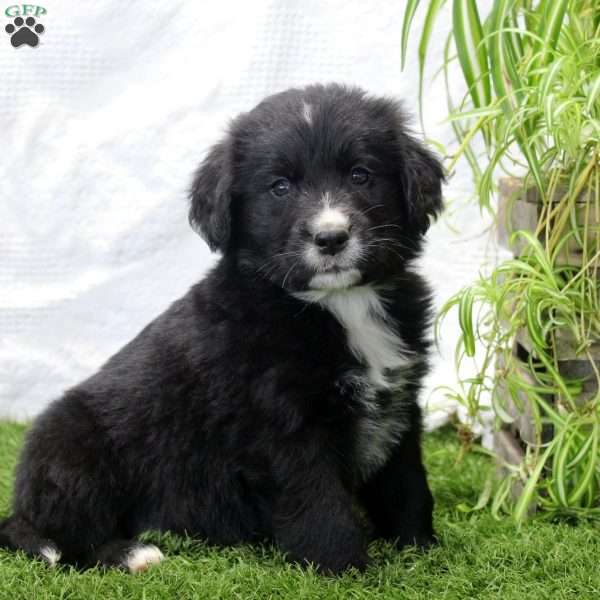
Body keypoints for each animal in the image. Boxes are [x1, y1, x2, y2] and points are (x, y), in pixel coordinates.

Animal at [0, 83, 442, 572]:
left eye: (360, 175)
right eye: (280, 187)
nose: (330, 238)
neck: (339, 304)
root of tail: (20, 506)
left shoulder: (399, 400)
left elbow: (406, 483)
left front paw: (419, 549)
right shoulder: (283, 425)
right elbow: (319, 502)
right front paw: (343, 568)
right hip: (72, 448)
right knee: (68, 537)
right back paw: (133, 553)